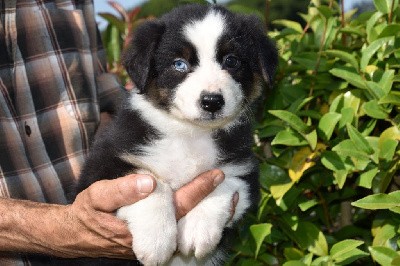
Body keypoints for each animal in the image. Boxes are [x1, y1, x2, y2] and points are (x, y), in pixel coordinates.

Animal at [78, 2, 278, 266]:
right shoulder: (106, 165)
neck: (190, 133)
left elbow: (223, 179)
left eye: (231, 60)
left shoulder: (244, 170)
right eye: (179, 64)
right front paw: (156, 241)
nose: (212, 101)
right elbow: (150, 182)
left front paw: (197, 230)